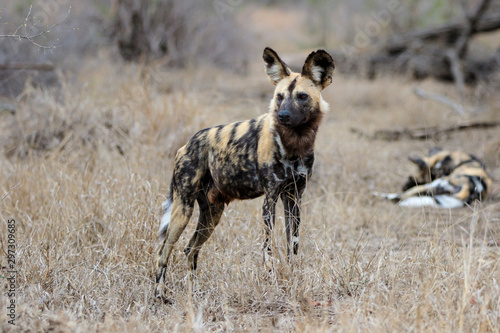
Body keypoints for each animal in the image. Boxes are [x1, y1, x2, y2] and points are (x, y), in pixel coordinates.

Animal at [155, 46, 336, 298]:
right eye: (279, 97)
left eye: (302, 96)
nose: (283, 116)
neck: (296, 144)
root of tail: (187, 144)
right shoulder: (270, 199)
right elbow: (268, 248)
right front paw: (271, 279)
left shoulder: (294, 198)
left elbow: (293, 245)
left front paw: (293, 277)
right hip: (183, 210)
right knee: (163, 251)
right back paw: (160, 294)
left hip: (212, 214)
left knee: (190, 249)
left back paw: (193, 294)